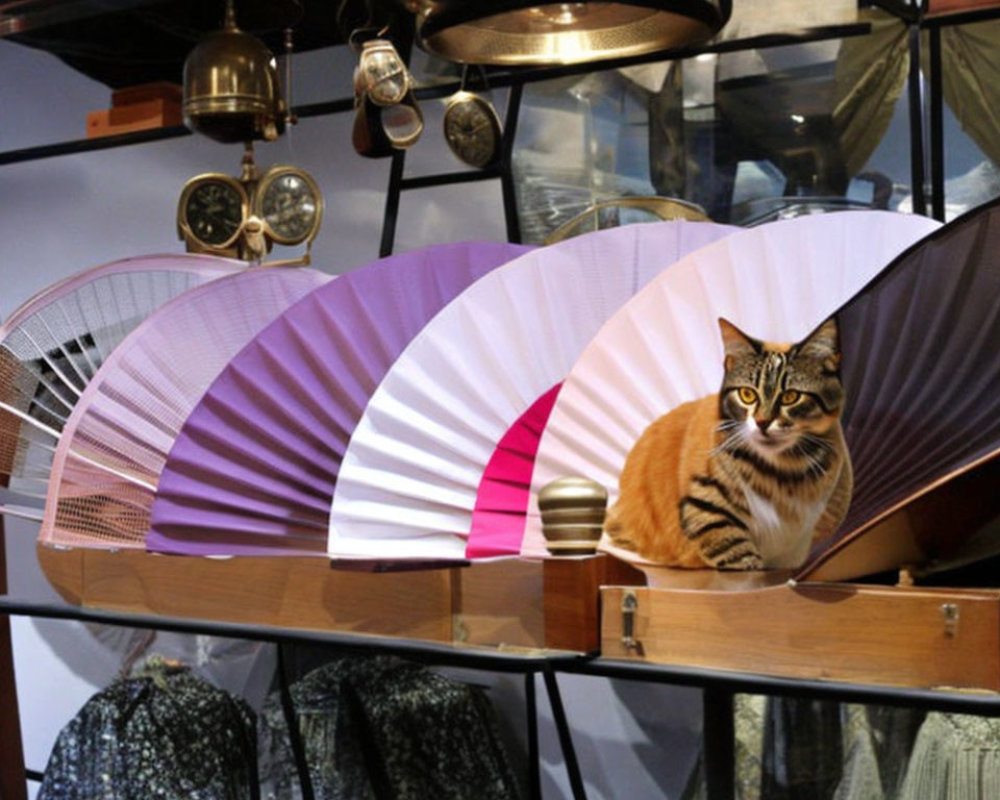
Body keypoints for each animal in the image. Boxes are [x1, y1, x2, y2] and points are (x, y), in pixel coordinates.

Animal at [600, 316, 852, 572]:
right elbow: (739, 557)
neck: (783, 472)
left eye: (791, 397)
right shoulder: (705, 508)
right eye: (747, 395)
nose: (762, 422)